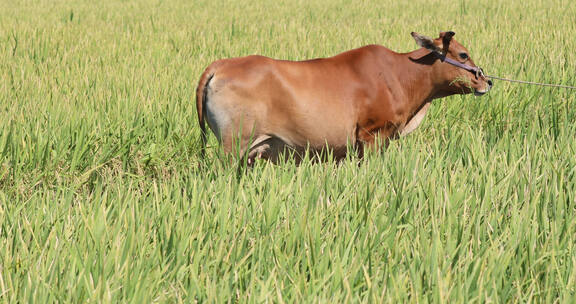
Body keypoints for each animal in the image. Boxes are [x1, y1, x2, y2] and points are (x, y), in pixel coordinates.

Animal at [196, 31, 492, 163]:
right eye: (463, 54)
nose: (487, 81)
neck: (402, 73)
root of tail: (221, 65)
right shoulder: (372, 136)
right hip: (232, 146)